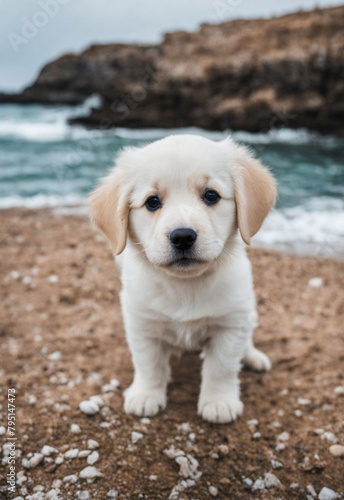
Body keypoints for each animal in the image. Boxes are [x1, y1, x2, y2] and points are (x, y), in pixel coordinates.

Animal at [89, 135, 276, 424]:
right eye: (152, 202)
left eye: (211, 196)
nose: (183, 236)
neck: (186, 286)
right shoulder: (141, 323)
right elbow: (149, 364)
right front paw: (146, 395)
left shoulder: (230, 325)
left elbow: (221, 367)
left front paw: (218, 402)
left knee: (247, 341)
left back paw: (253, 357)